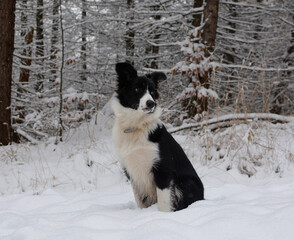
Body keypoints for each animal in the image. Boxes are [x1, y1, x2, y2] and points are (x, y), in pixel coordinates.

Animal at [111, 62, 203, 212]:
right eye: (137, 89)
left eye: (153, 92)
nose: (151, 103)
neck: (136, 127)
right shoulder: (132, 171)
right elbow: (141, 200)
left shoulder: (163, 169)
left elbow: (164, 203)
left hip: (187, 183)